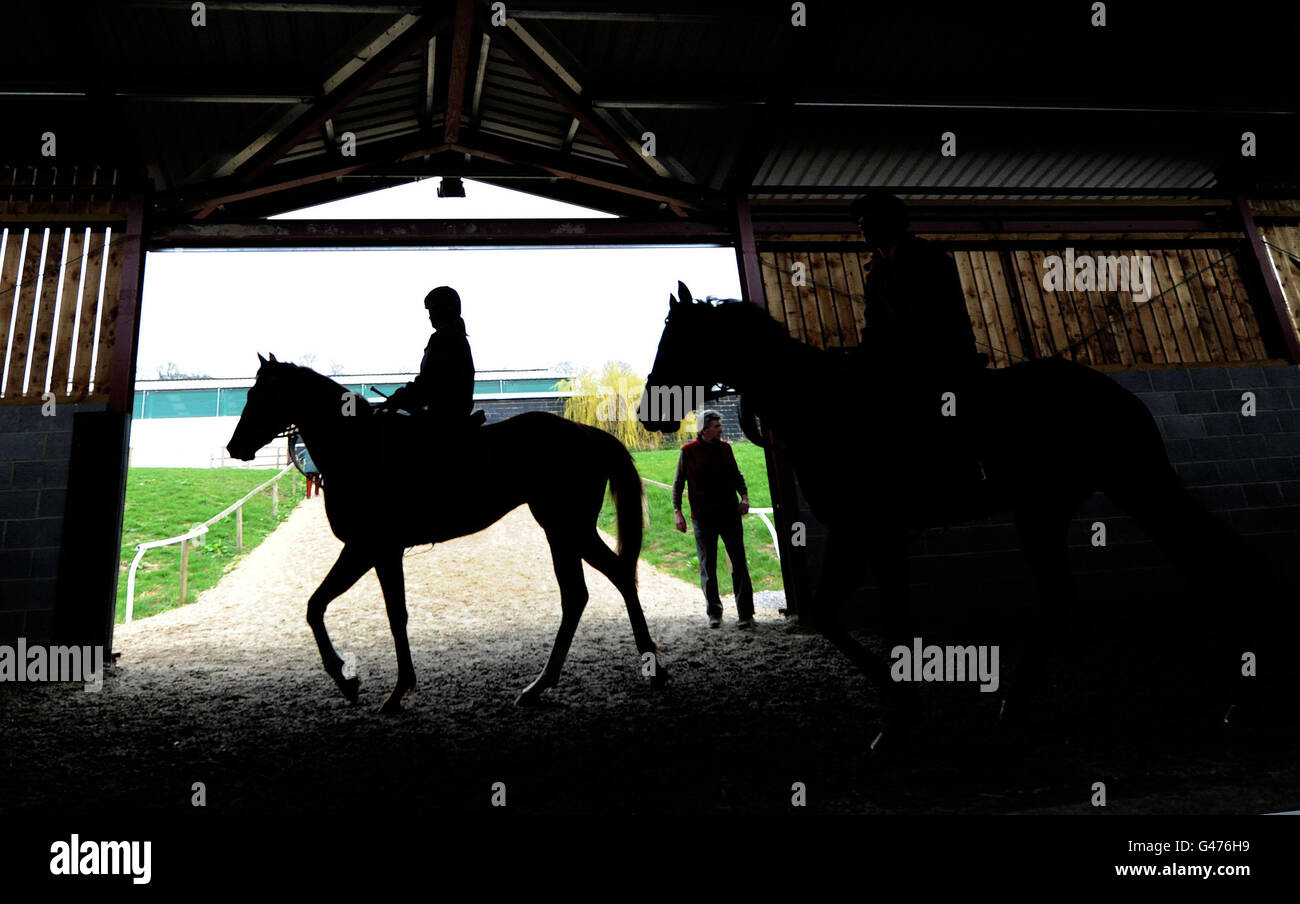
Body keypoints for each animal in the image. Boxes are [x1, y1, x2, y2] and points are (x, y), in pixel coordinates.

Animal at [227, 353, 665, 712]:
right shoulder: (375, 551)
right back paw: (552, 684)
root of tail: (588, 433)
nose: (235, 447)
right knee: (588, 589)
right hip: (563, 531)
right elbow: (335, 608)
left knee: (605, 581)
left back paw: (640, 668)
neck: (359, 449)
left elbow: (359, 611)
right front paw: (365, 682)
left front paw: (370, 684)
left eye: (260, 393)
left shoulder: (370, 549)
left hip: (566, 528)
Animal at [639, 286, 1279, 738]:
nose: (650, 413)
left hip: (1100, 492)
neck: (828, 407)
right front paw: (902, 707)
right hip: (1087, 496)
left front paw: (901, 708)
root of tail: (1115, 394)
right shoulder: (874, 534)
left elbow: (845, 616)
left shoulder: (863, 529)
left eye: (678, 340)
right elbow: (867, 615)